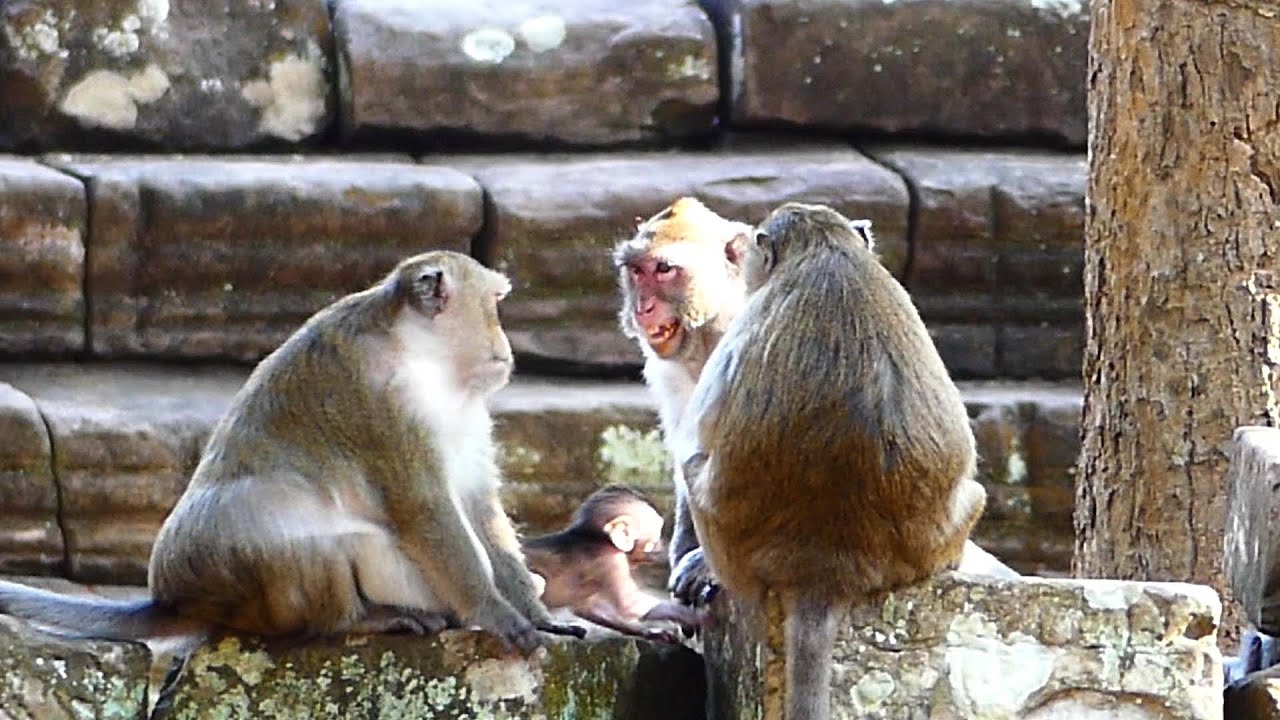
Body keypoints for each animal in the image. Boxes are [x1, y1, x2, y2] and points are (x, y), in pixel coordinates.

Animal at [0, 250, 582, 654]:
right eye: (494, 306)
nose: (505, 348)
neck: (423, 358)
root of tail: (175, 598)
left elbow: (478, 505)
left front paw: (535, 611)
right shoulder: (383, 404)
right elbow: (424, 508)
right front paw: (495, 611)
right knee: (303, 540)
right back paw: (356, 618)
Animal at [522, 486, 701, 643]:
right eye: (652, 542)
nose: (663, 544)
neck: (600, 539)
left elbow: (591, 609)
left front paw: (651, 632)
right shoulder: (611, 560)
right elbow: (629, 604)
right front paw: (688, 616)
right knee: (538, 582)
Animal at [674, 202, 988, 720]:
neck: (825, 246)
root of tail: (825, 562)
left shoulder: (743, 323)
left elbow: (693, 439)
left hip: (732, 543)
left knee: (694, 468)